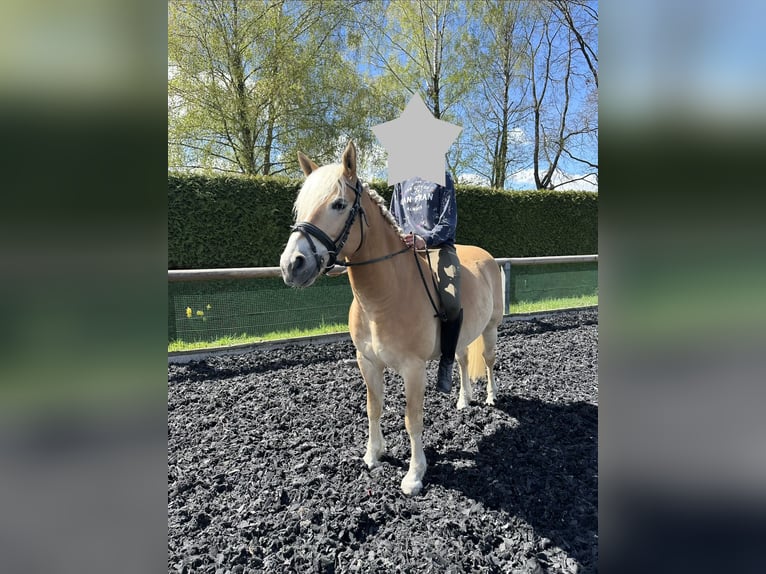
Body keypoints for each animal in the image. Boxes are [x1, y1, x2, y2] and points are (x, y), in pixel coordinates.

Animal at [280, 141, 504, 495]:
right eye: (299, 207)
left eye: (339, 204)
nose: (292, 265)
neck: (383, 299)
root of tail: (486, 256)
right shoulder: (368, 362)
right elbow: (374, 408)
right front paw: (374, 455)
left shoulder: (413, 369)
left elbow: (412, 419)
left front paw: (414, 476)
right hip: (463, 336)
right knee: (464, 360)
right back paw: (464, 400)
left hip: (492, 328)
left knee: (490, 360)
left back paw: (492, 397)